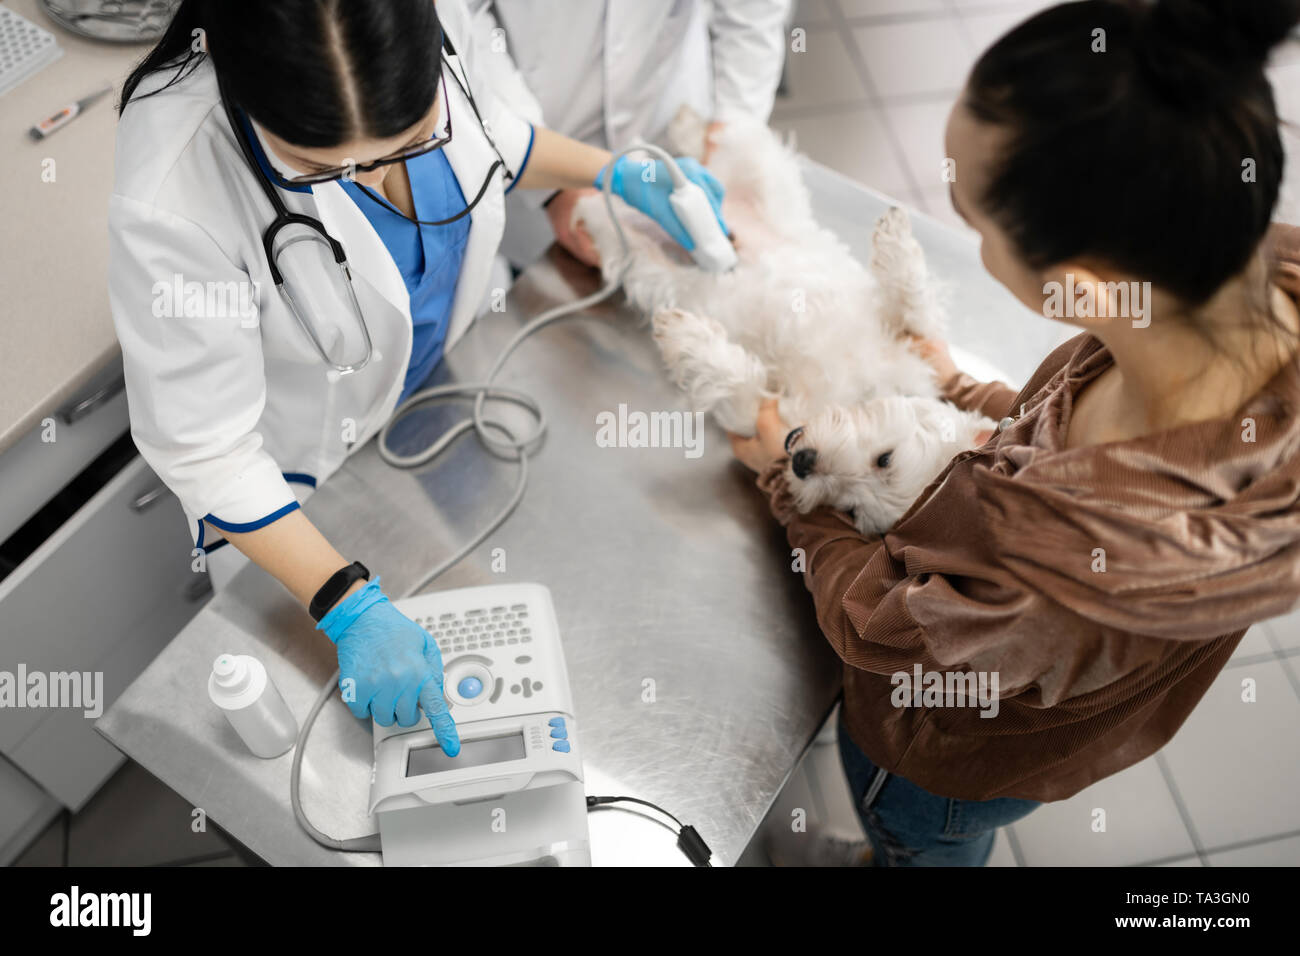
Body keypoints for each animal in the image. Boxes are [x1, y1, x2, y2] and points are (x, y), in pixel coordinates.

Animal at [574, 115, 987, 535]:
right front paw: (897, 237)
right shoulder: (910, 337)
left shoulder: (749, 418)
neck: (838, 397)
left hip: (664, 277)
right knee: (731, 141)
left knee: (634, 254)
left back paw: (599, 213)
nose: (803, 464)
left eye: (851, 510)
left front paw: (684, 336)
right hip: (769, 180)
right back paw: (684, 133)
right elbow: (914, 301)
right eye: (885, 458)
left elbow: (736, 381)